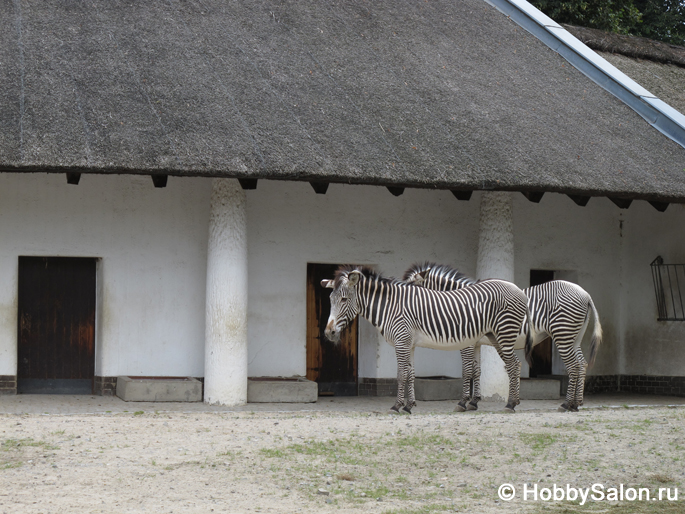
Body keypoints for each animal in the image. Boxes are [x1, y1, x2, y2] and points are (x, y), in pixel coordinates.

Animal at [322, 264, 536, 412]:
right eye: (330, 299)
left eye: (344, 299)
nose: (328, 332)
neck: (391, 306)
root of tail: (519, 291)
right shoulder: (409, 344)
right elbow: (411, 373)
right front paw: (408, 406)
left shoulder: (402, 342)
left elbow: (402, 374)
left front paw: (396, 406)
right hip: (495, 336)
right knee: (514, 365)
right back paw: (514, 402)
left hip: (504, 333)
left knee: (513, 364)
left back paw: (510, 404)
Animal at [404, 262, 600, 410]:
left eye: (413, 291)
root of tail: (585, 294)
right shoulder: (476, 343)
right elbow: (477, 370)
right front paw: (474, 402)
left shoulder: (467, 342)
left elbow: (467, 370)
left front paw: (463, 402)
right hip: (574, 337)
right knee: (582, 364)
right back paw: (576, 403)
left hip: (562, 333)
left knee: (574, 365)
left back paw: (566, 404)